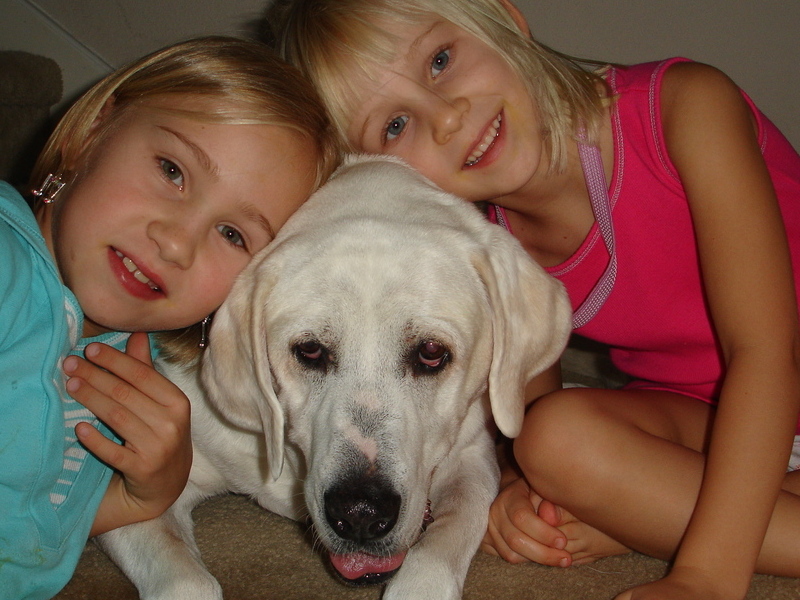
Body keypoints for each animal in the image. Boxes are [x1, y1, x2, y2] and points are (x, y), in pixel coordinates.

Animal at [97, 156, 572, 600]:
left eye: (432, 353)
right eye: (309, 351)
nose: (361, 513)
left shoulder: (473, 456)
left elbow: (446, 539)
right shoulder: (150, 485)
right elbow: (186, 580)